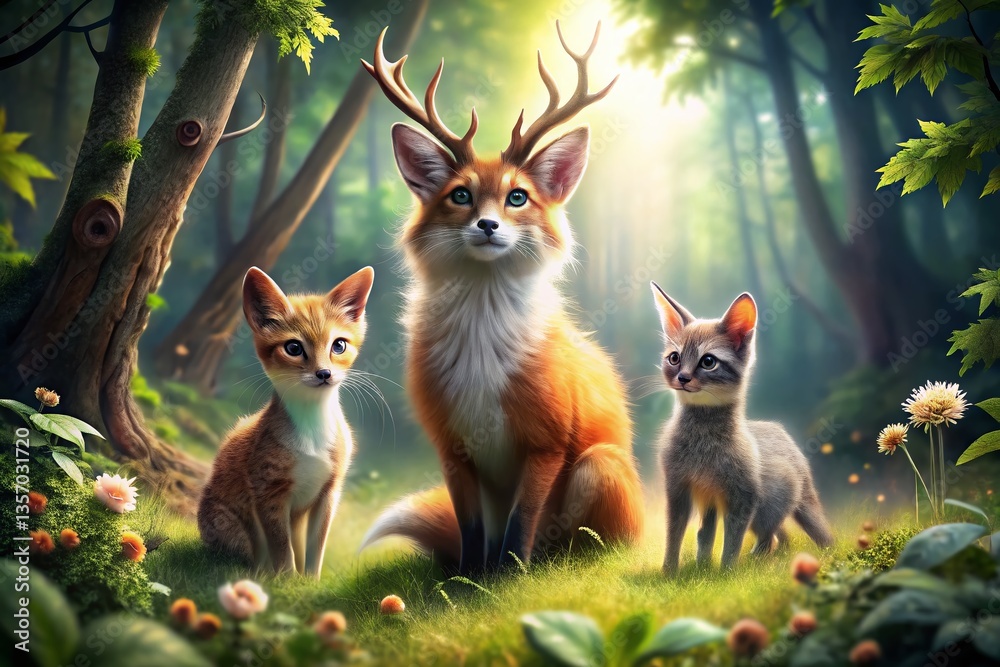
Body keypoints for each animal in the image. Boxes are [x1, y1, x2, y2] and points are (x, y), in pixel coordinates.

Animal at [197, 265, 374, 576]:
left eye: (339, 345)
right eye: (293, 348)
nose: (324, 373)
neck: (312, 427)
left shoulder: (328, 493)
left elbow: (315, 549)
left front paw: (310, 582)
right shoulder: (269, 494)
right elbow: (282, 549)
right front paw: (286, 581)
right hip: (236, 532)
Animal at [359, 24, 644, 573]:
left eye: (517, 197)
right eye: (461, 195)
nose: (487, 226)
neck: (480, 352)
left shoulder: (545, 445)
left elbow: (520, 525)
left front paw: (509, 578)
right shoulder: (453, 449)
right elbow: (471, 531)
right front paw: (467, 580)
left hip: (598, 465)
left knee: (575, 548)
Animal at [650, 284, 834, 575]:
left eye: (708, 361)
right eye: (674, 358)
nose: (682, 378)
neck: (702, 439)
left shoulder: (743, 497)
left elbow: (732, 542)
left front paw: (725, 574)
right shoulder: (679, 490)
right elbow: (681, 535)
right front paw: (671, 572)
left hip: (765, 511)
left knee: (769, 539)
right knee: (775, 538)